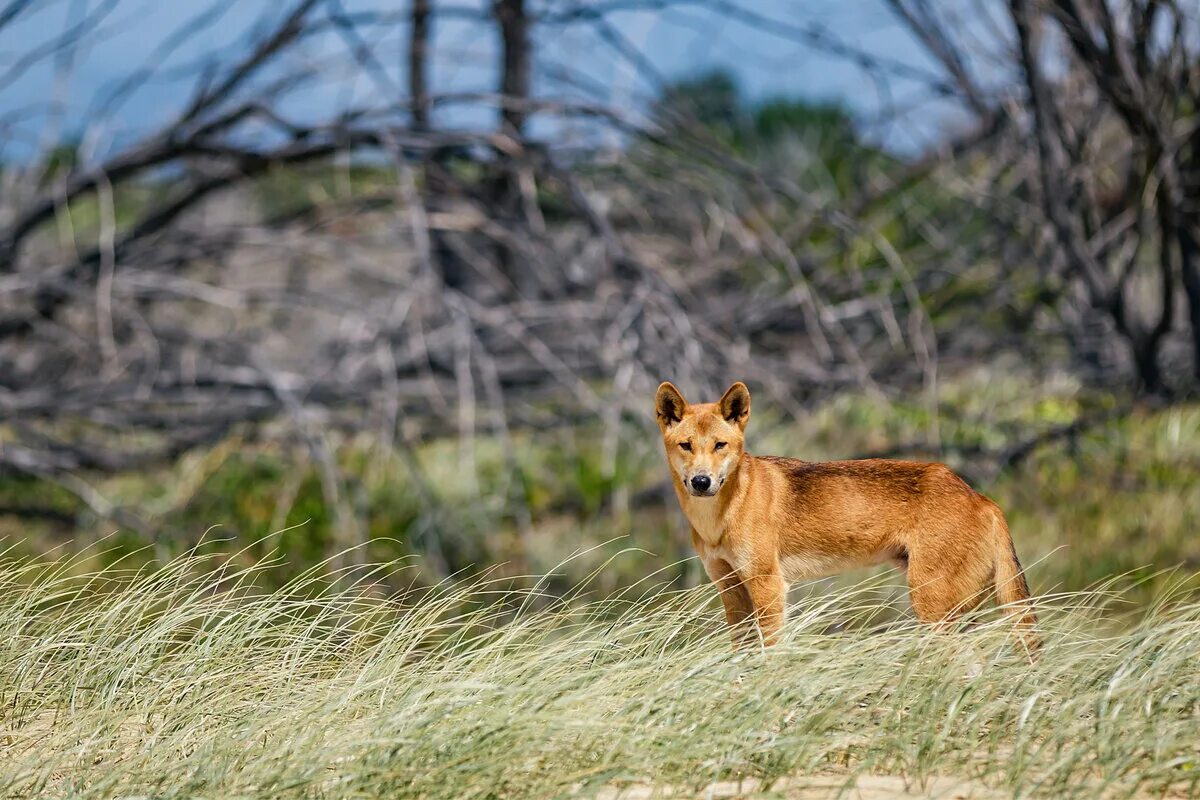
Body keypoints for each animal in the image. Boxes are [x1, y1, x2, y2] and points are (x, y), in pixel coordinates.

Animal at [657, 383, 1041, 657]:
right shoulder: (730, 588)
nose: (701, 481)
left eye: (720, 445)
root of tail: (983, 498)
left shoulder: (769, 585)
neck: (720, 518)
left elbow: (770, 653)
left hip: (932, 605)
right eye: (686, 445)